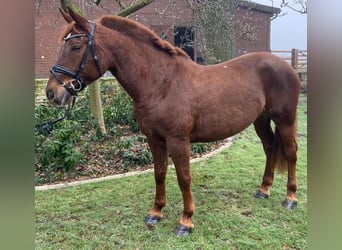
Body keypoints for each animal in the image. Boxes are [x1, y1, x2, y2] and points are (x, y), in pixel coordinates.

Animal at [44, 7, 300, 236]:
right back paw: (264, 190)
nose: (52, 93)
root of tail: (286, 65)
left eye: (76, 47)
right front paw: (156, 212)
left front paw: (186, 221)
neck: (161, 83)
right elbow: (159, 173)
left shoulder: (178, 140)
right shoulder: (154, 139)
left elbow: (184, 178)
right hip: (261, 120)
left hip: (285, 120)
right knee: (269, 148)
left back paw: (290, 198)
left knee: (290, 153)